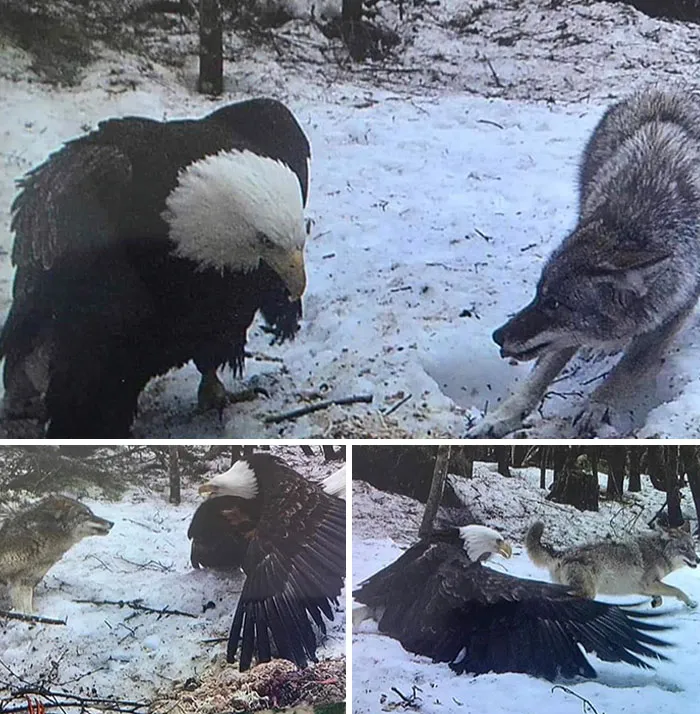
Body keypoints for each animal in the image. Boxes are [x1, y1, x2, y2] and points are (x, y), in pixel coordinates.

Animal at [468, 87, 700, 438]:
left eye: (554, 304)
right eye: (538, 295)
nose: (497, 336)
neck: (636, 221)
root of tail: (661, 88)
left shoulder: (676, 309)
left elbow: (630, 367)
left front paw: (597, 405)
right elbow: (538, 376)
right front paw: (499, 418)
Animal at [525, 521, 699, 608]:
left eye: (693, 546)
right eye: (683, 548)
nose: (698, 560)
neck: (659, 552)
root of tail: (561, 553)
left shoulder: (640, 588)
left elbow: (660, 597)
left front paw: (656, 602)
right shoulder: (649, 584)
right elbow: (677, 590)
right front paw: (691, 603)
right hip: (588, 593)